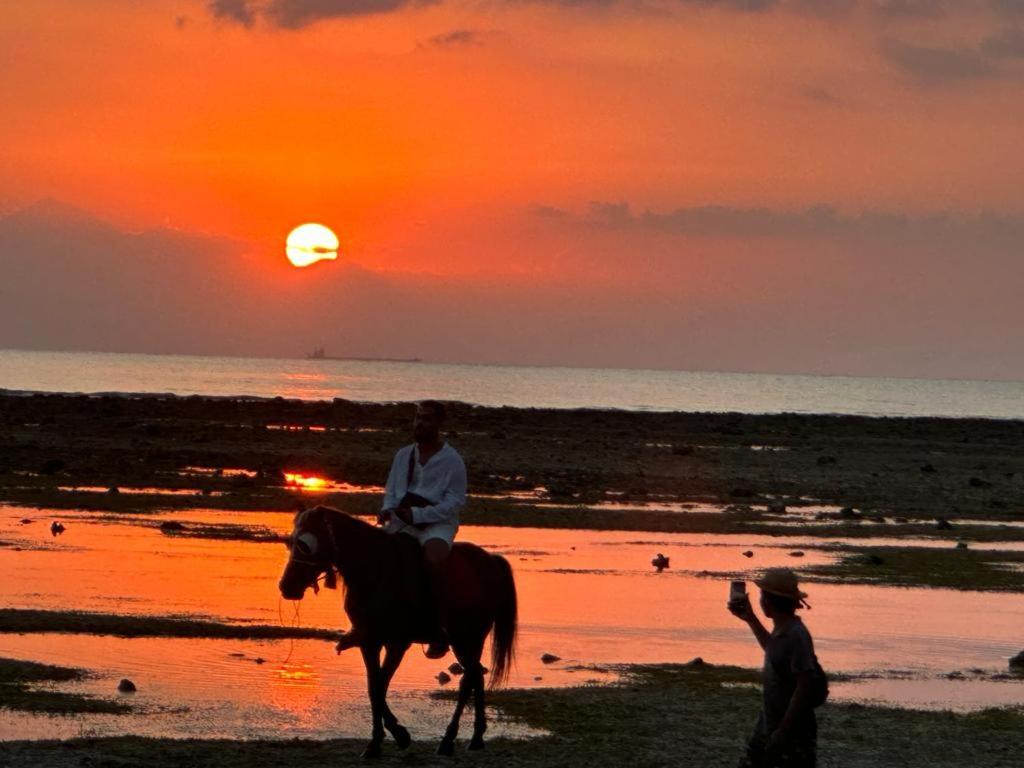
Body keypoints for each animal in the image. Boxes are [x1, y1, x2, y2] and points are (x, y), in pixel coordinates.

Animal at [280, 505, 520, 757]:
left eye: (305, 544)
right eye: (290, 542)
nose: (286, 587)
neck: (375, 572)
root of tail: (490, 561)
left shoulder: (397, 643)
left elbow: (379, 686)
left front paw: (397, 735)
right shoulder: (370, 641)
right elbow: (374, 687)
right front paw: (378, 742)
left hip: (466, 638)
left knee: (469, 679)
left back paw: (449, 740)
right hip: (468, 641)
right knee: (476, 677)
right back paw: (476, 738)